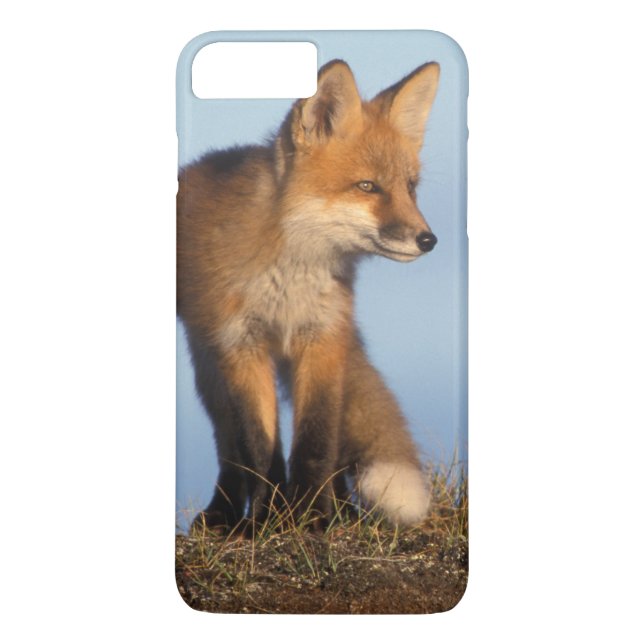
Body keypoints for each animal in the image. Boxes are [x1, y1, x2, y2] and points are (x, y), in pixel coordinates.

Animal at [177, 59, 440, 531]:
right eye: (368, 187)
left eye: (410, 187)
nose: (428, 240)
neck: (290, 277)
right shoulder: (241, 345)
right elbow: (259, 446)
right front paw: (271, 523)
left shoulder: (323, 337)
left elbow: (317, 441)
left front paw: (314, 518)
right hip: (208, 363)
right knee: (229, 444)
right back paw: (227, 514)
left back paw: (341, 511)